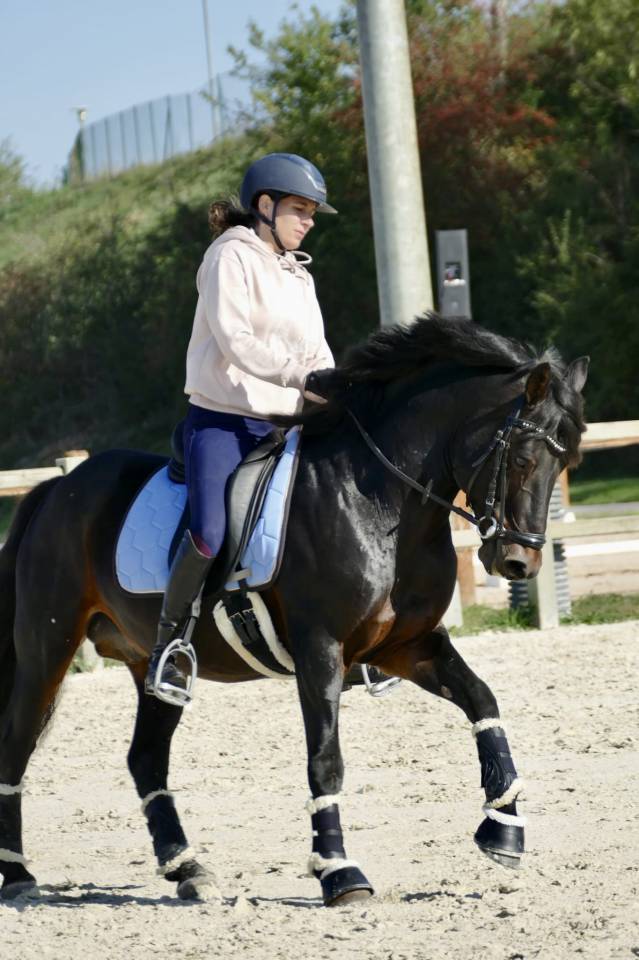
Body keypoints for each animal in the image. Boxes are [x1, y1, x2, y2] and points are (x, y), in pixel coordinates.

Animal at [0, 315, 587, 905]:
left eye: (566, 461)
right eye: (523, 459)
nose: (519, 562)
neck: (382, 499)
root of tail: (57, 488)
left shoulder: (408, 645)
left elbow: (482, 700)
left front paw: (504, 828)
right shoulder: (320, 648)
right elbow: (325, 760)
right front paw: (339, 871)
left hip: (155, 666)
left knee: (145, 757)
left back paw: (186, 868)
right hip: (47, 651)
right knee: (17, 745)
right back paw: (19, 874)